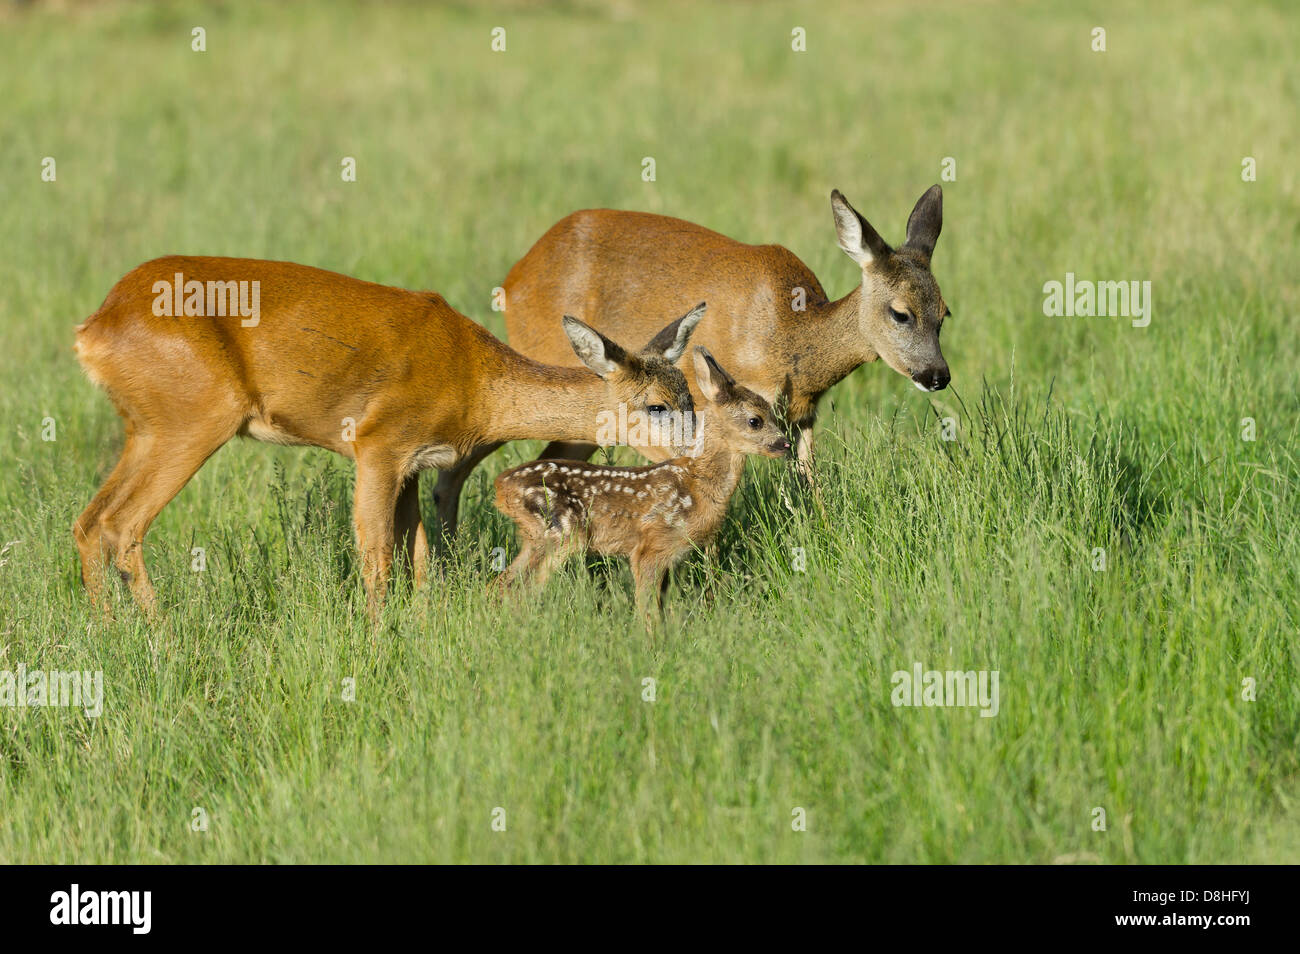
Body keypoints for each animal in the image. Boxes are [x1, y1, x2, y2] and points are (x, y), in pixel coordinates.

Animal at [71, 256, 702, 613]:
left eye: (691, 397)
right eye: (655, 404)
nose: (697, 457)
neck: (476, 381)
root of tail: (94, 328)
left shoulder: (413, 465)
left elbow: (417, 556)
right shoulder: (377, 446)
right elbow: (376, 560)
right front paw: (376, 650)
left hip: (146, 430)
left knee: (89, 521)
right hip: (193, 423)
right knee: (122, 525)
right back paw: (158, 638)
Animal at [491, 345, 785, 629]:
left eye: (773, 414)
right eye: (755, 421)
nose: (785, 444)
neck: (697, 484)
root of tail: (501, 486)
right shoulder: (650, 545)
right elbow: (647, 608)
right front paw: (650, 640)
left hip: (538, 537)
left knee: (501, 584)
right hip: (560, 533)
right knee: (520, 588)